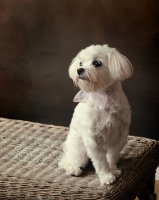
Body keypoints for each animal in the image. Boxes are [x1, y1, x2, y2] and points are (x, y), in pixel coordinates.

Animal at [59, 44, 132, 185]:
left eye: (97, 63)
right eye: (80, 63)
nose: (79, 70)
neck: (103, 96)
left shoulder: (120, 136)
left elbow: (112, 156)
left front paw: (113, 170)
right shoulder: (92, 140)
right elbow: (101, 161)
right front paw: (106, 177)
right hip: (79, 151)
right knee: (65, 161)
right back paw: (73, 169)